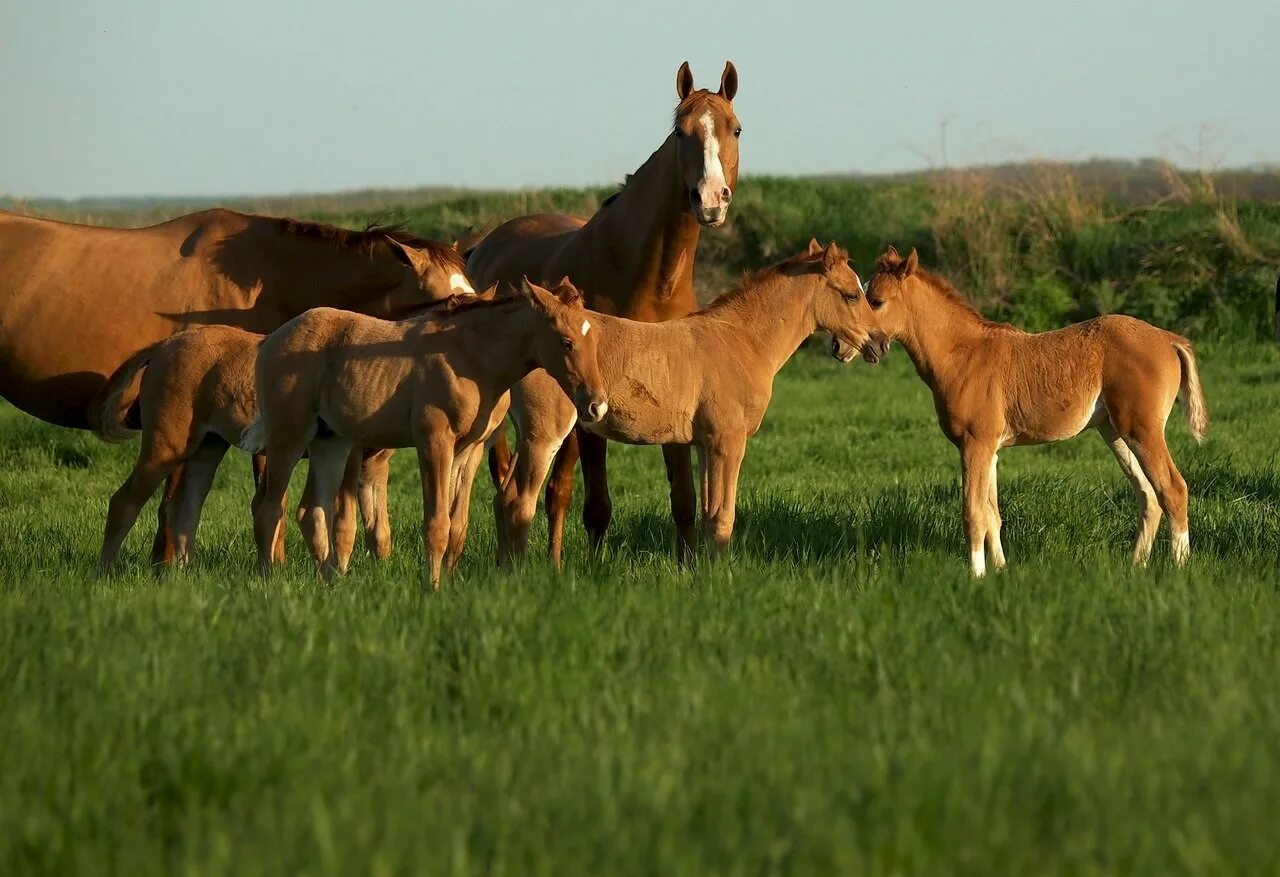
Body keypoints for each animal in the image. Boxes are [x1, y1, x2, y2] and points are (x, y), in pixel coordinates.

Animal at [245, 276, 614, 583]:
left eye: (595, 339)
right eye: (566, 342)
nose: (597, 405)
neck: (470, 359)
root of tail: (271, 340)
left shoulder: (468, 450)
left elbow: (456, 525)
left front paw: (448, 584)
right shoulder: (434, 442)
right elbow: (437, 523)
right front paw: (432, 587)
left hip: (330, 443)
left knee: (312, 511)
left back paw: (331, 584)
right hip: (288, 438)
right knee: (269, 508)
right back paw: (269, 581)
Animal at [468, 63, 747, 568]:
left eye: (734, 129)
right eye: (682, 132)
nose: (710, 200)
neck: (649, 279)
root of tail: (484, 246)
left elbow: (683, 498)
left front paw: (688, 565)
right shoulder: (594, 402)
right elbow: (596, 504)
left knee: (555, 489)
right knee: (511, 480)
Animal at [865, 245, 1203, 573]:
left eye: (876, 301)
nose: (866, 347)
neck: (962, 354)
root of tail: (1168, 339)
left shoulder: (976, 444)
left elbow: (974, 513)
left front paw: (976, 576)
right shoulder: (991, 451)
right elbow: (992, 515)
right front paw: (1001, 571)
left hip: (1142, 430)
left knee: (1173, 489)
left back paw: (1179, 567)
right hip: (1115, 432)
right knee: (1149, 496)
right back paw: (1136, 566)